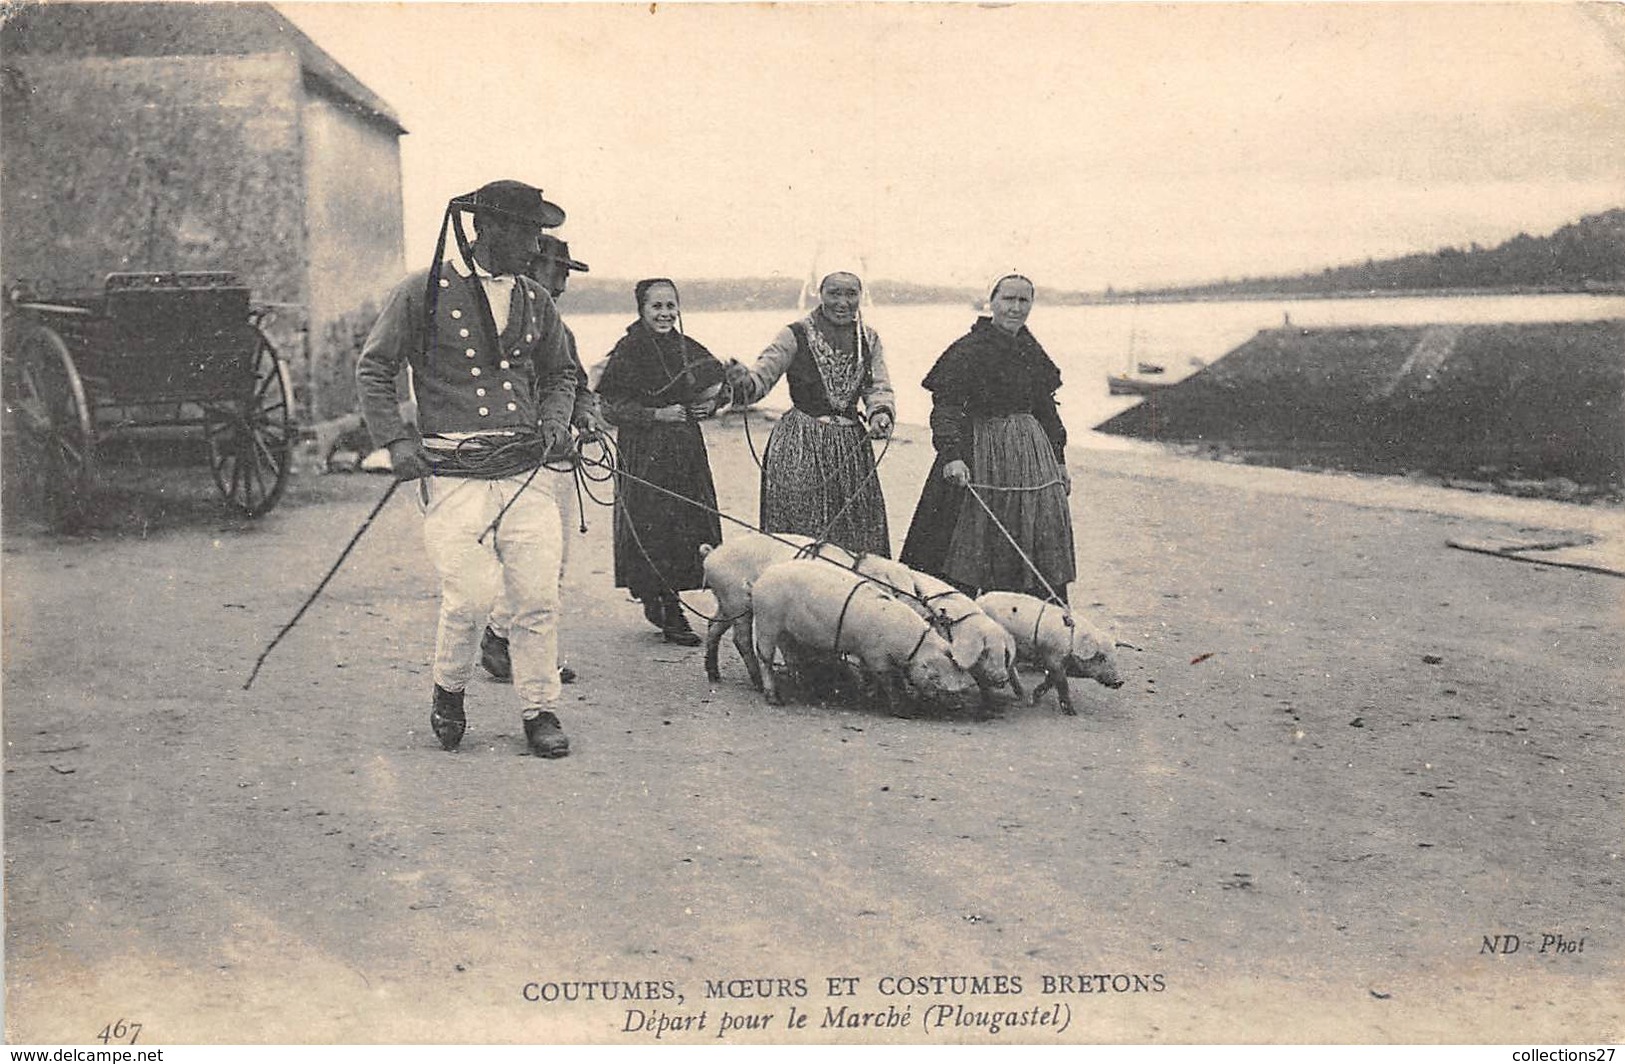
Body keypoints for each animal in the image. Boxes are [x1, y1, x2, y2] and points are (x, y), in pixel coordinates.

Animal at [695, 529, 858, 685]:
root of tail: (711, 555)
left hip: (728, 602)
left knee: (713, 625)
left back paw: (714, 676)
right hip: (737, 600)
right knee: (741, 639)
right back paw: (759, 684)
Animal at [747, 558, 975, 714]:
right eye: (935, 677)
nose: (965, 690)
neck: (912, 645)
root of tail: (760, 580)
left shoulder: (866, 653)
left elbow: (869, 675)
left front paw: (869, 696)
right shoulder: (876, 653)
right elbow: (890, 679)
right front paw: (901, 709)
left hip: (785, 629)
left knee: (791, 655)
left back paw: (805, 688)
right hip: (767, 619)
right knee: (765, 656)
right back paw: (775, 699)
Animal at [968, 591, 1124, 714]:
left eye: (1114, 656)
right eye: (1101, 657)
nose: (1119, 681)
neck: (1072, 641)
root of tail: (978, 599)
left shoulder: (1056, 664)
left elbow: (1050, 682)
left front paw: (1034, 699)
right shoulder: (1053, 660)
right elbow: (1062, 685)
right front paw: (1072, 712)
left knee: (1010, 668)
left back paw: (1022, 695)